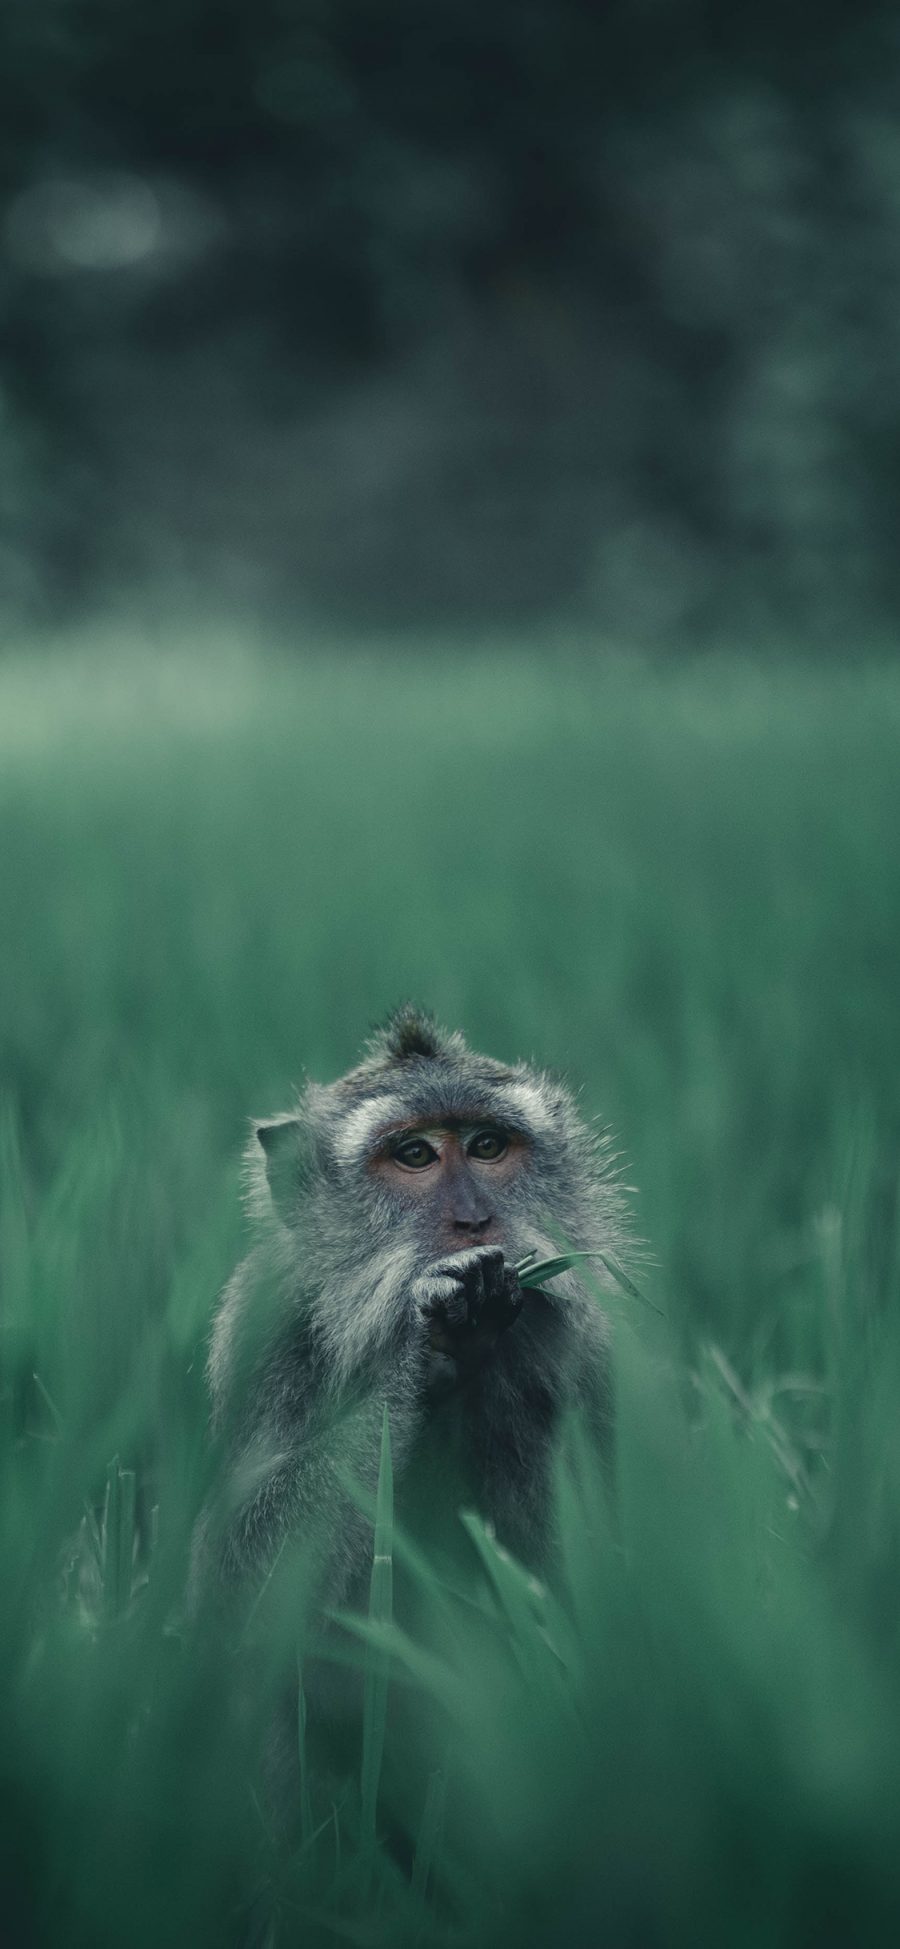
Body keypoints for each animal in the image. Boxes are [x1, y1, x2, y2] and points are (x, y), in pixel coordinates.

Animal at [190, 1005, 627, 1808]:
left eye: (487, 1146)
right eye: (414, 1154)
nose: (474, 1219)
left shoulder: (598, 1356)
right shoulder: (262, 1338)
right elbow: (235, 1594)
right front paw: (424, 1349)